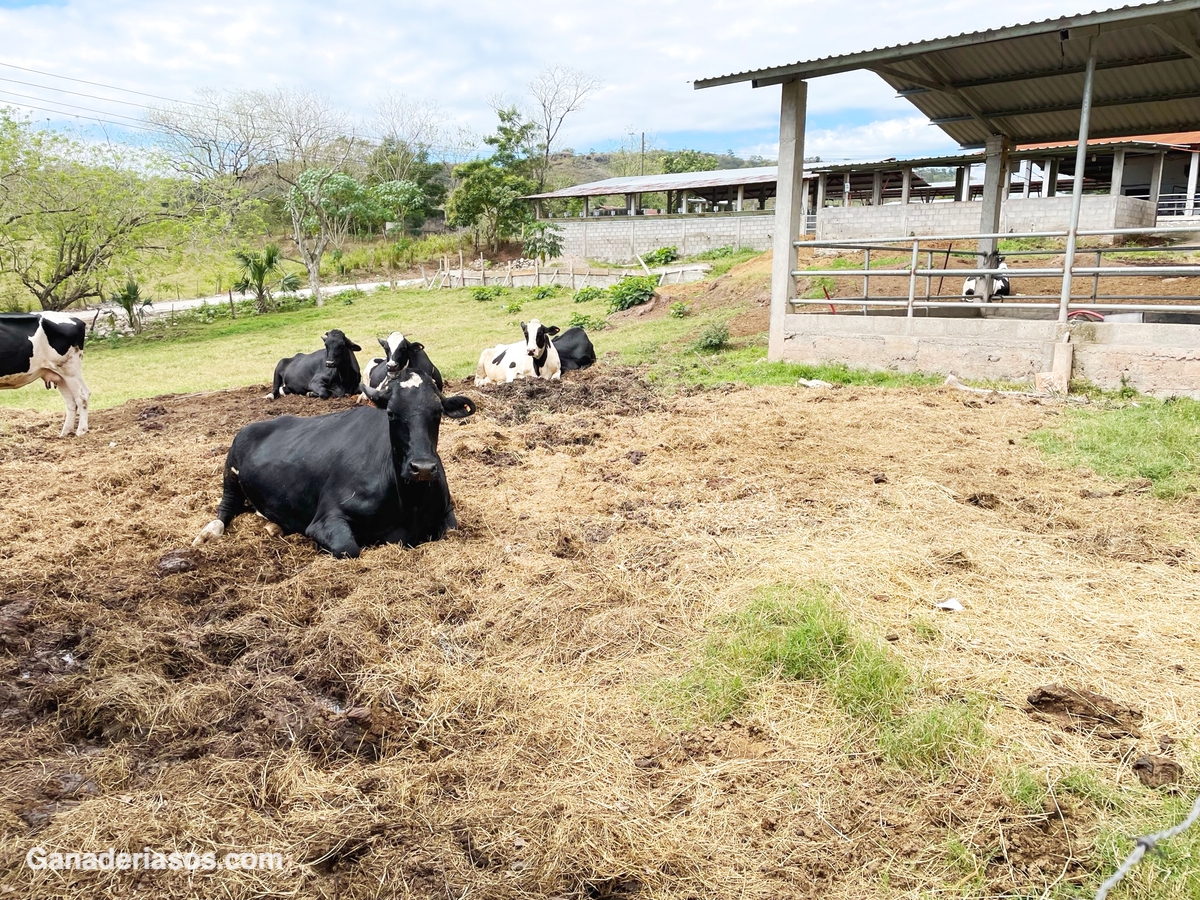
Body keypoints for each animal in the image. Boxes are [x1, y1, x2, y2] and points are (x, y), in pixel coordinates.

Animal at [194, 369, 475, 561]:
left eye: (438, 413)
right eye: (391, 413)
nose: (423, 468)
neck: (410, 503)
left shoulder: (446, 511)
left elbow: (452, 530)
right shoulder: (326, 517)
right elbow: (349, 548)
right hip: (230, 471)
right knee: (226, 507)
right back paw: (209, 532)